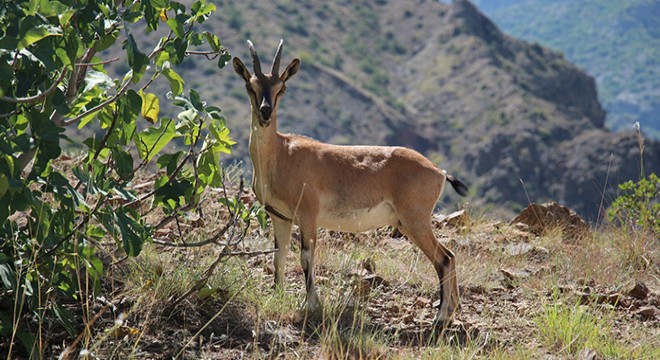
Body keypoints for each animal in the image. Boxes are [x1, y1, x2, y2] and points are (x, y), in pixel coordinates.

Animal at [233, 39, 470, 326]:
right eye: (251, 85)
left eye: (282, 88)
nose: (265, 113)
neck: (281, 154)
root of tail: (438, 171)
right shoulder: (281, 217)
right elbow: (279, 256)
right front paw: (276, 296)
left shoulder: (307, 216)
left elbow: (306, 257)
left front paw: (311, 304)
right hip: (410, 223)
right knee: (449, 257)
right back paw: (450, 312)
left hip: (416, 221)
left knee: (445, 258)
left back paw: (441, 318)